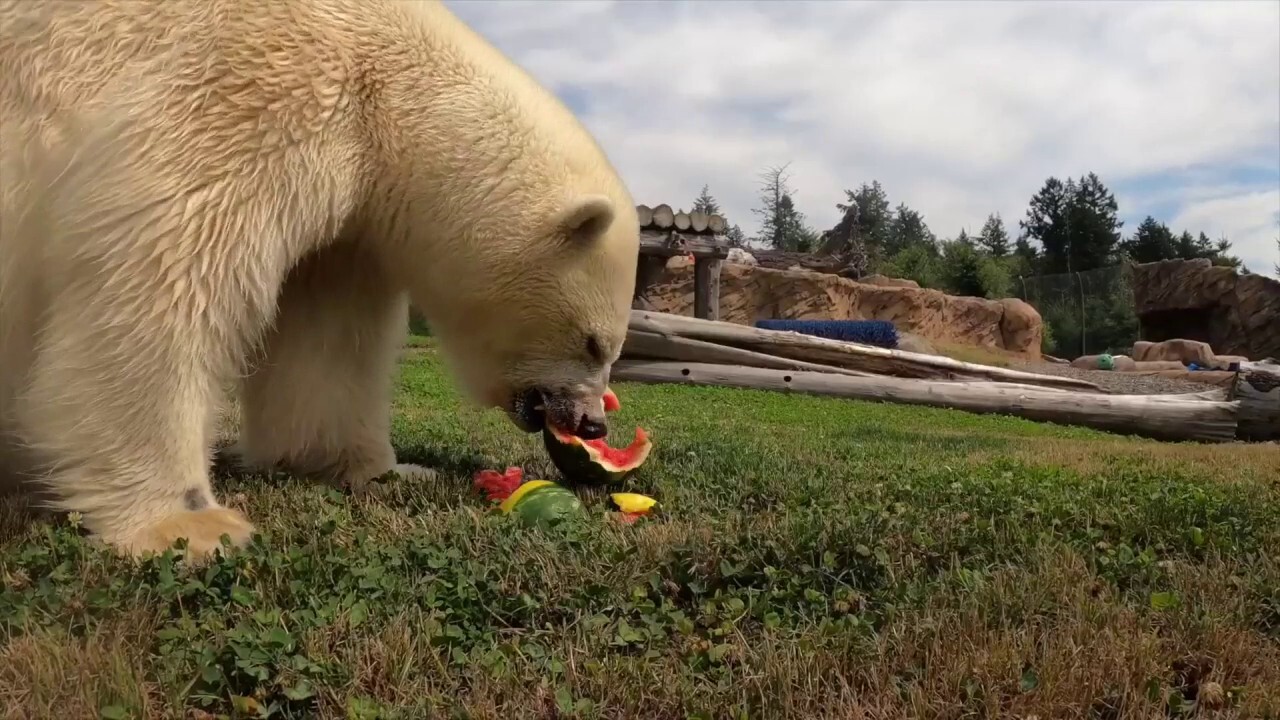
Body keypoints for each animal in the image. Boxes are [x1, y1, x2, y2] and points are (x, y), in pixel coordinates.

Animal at [0, 0, 640, 558]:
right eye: (595, 343)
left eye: (610, 350)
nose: (593, 421)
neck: (383, 86)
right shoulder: (250, 93)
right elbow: (165, 275)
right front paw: (190, 522)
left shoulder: (348, 220)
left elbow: (326, 341)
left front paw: (389, 470)